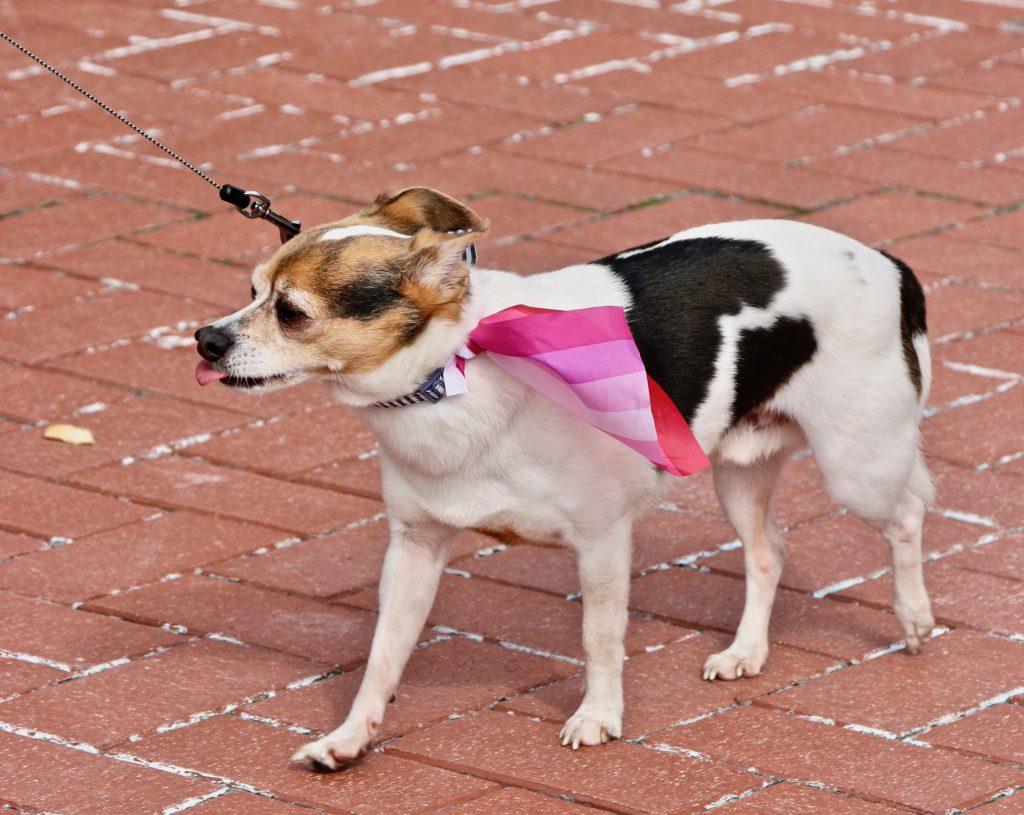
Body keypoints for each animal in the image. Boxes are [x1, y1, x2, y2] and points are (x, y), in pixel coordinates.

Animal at [193, 187, 937, 774]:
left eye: (291, 311)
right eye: (251, 291)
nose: (205, 338)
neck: (456, 374)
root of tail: (887, 263)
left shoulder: (603, 542)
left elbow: (599, 637)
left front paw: (598, 716)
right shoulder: (414, 549)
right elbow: (383, 655)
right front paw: (349, 738)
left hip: (857, 464)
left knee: (906, 517)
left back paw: (914, 618)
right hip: (737, 470)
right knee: (769, 550)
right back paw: (746, 650)